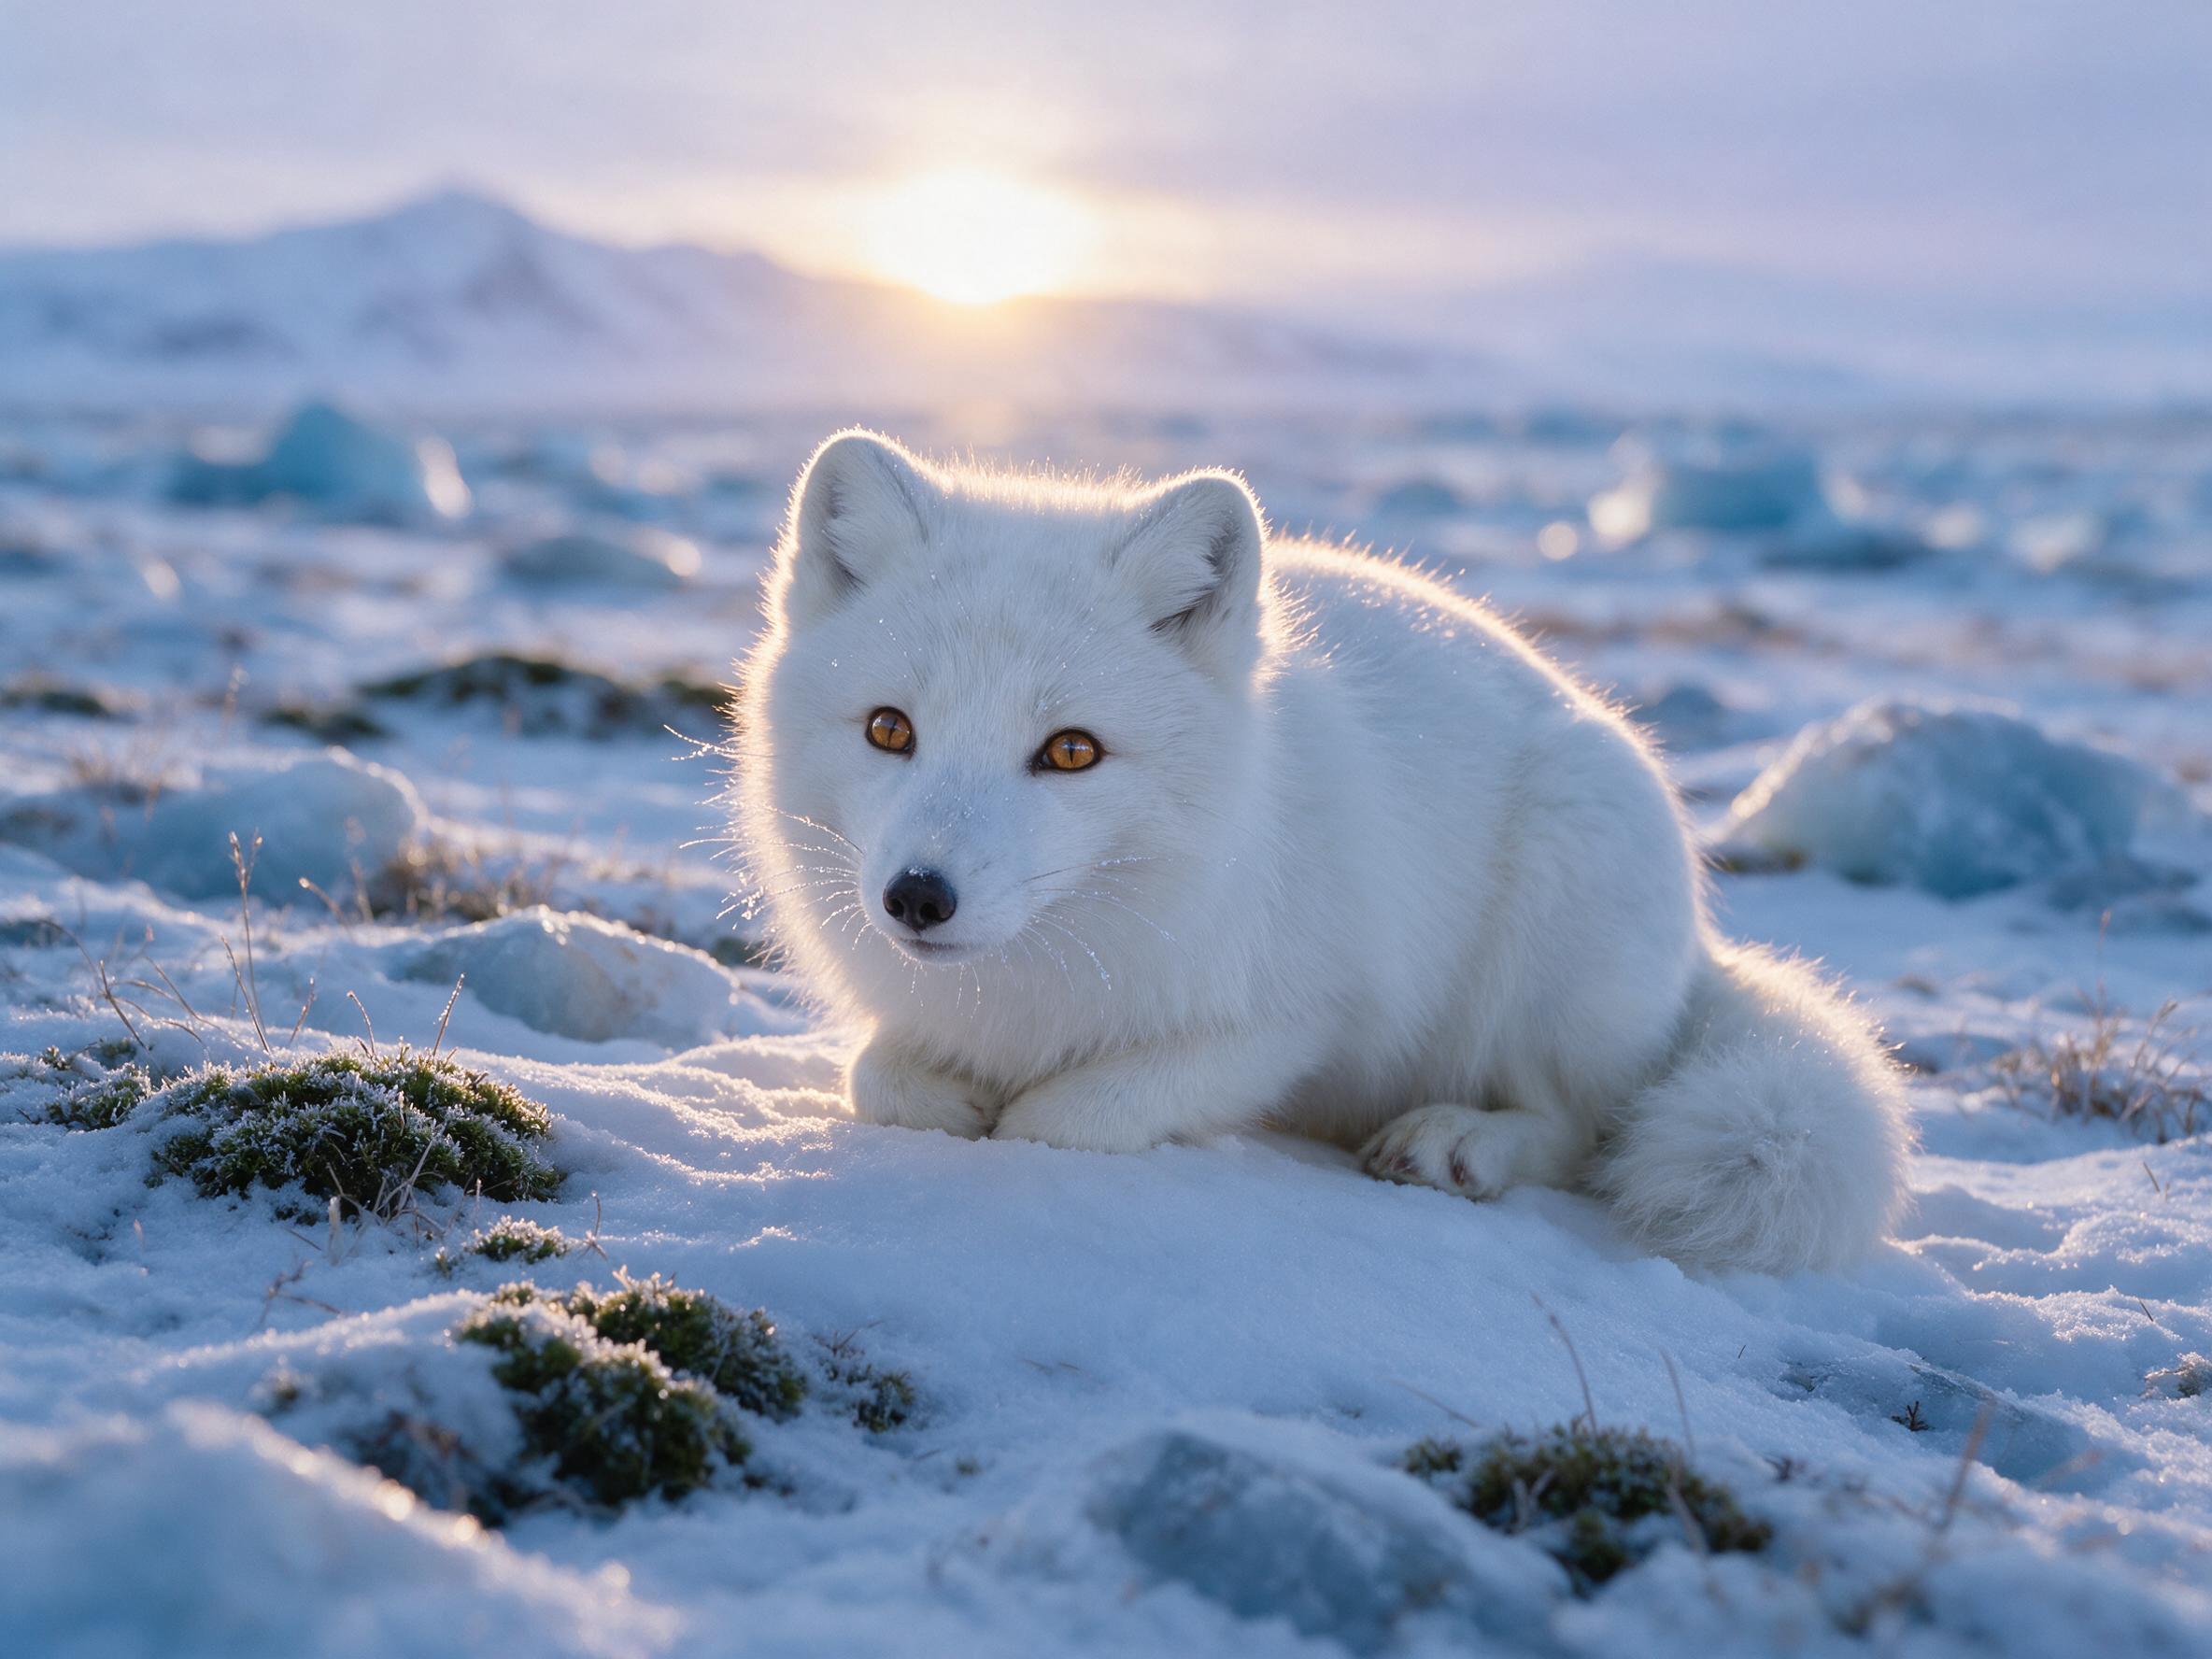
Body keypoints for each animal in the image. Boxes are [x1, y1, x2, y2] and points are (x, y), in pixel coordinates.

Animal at [730, 431, 1911, 1273]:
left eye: (1070, 751)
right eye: (890, 730)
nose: (916, 898)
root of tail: (1699, 956)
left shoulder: (1302, 1014)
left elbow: (1066, 1117)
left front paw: (1022, 1113)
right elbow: (876, 1074)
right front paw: (940, 1094)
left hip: (1562, 898)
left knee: (1585, 1126)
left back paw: (1454, 1145)